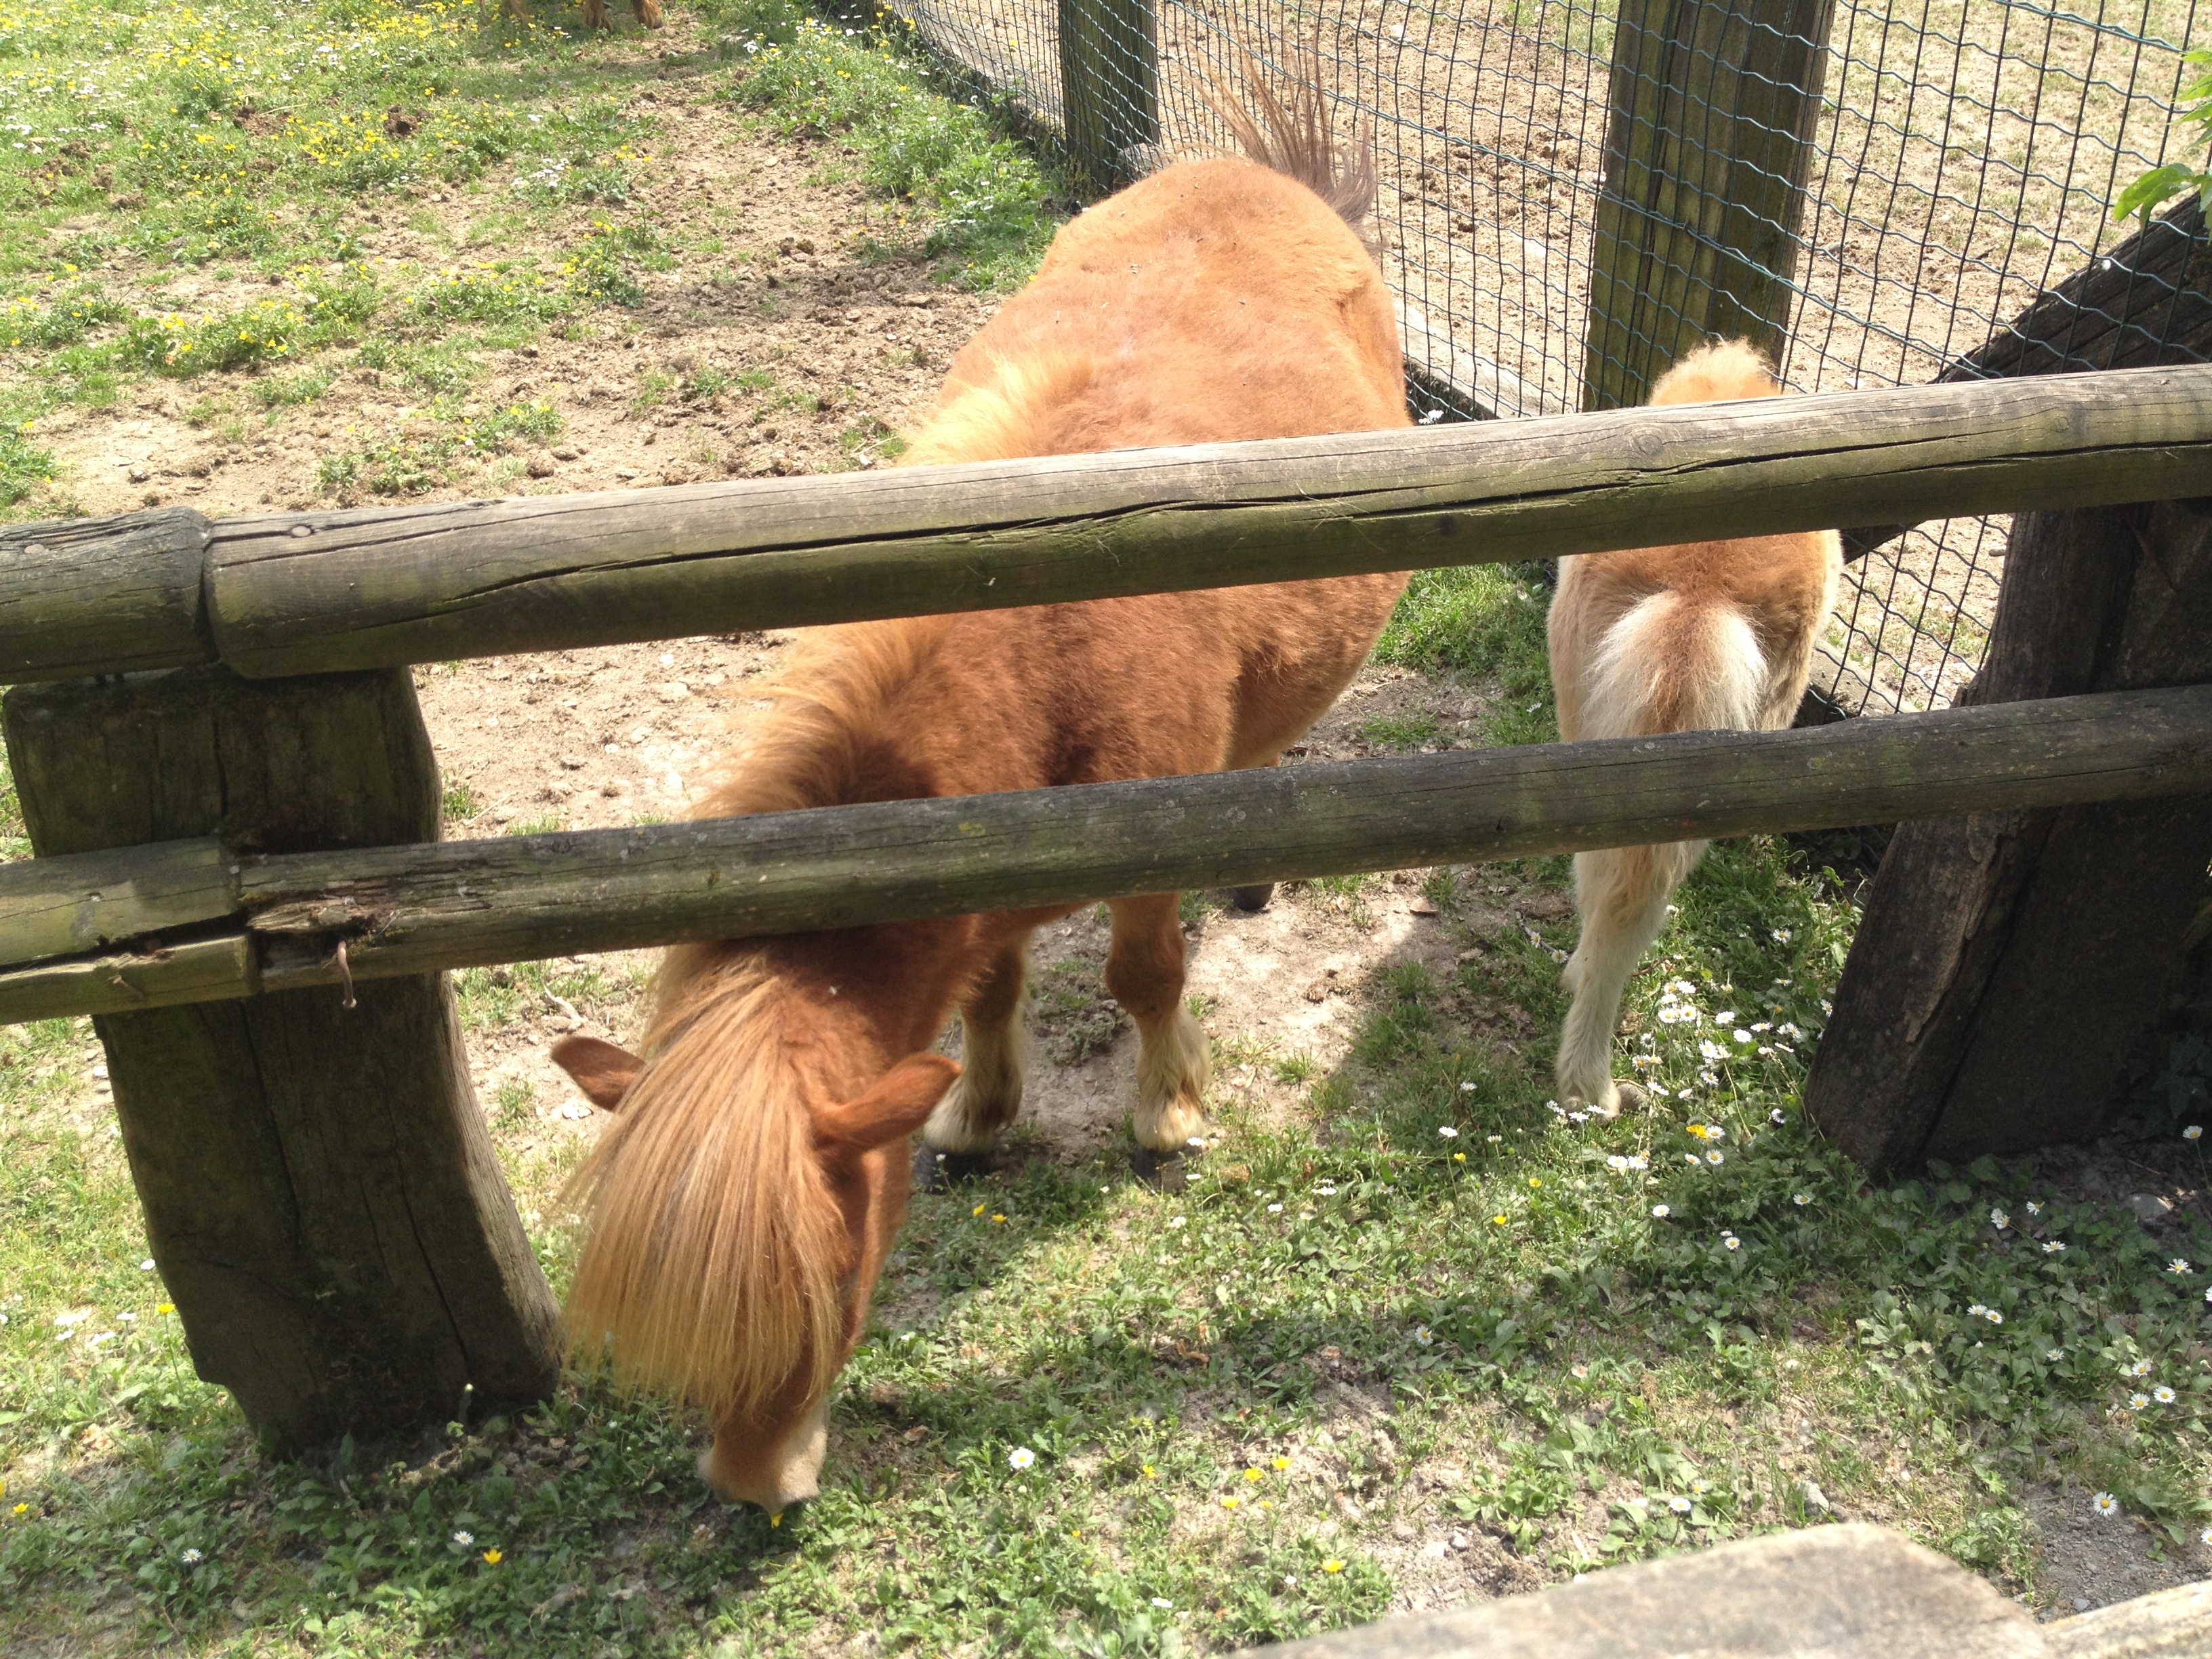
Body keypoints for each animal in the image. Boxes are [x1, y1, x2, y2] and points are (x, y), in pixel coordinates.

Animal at [548, 70, 1411, 1514]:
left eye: (834, 1273)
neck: (1031, 639)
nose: (757, 1487)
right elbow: (989, 988)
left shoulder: (1137, 851)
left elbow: (1143, 976)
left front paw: (1163, 1112)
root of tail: (1261, 179)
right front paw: (980, 1110)